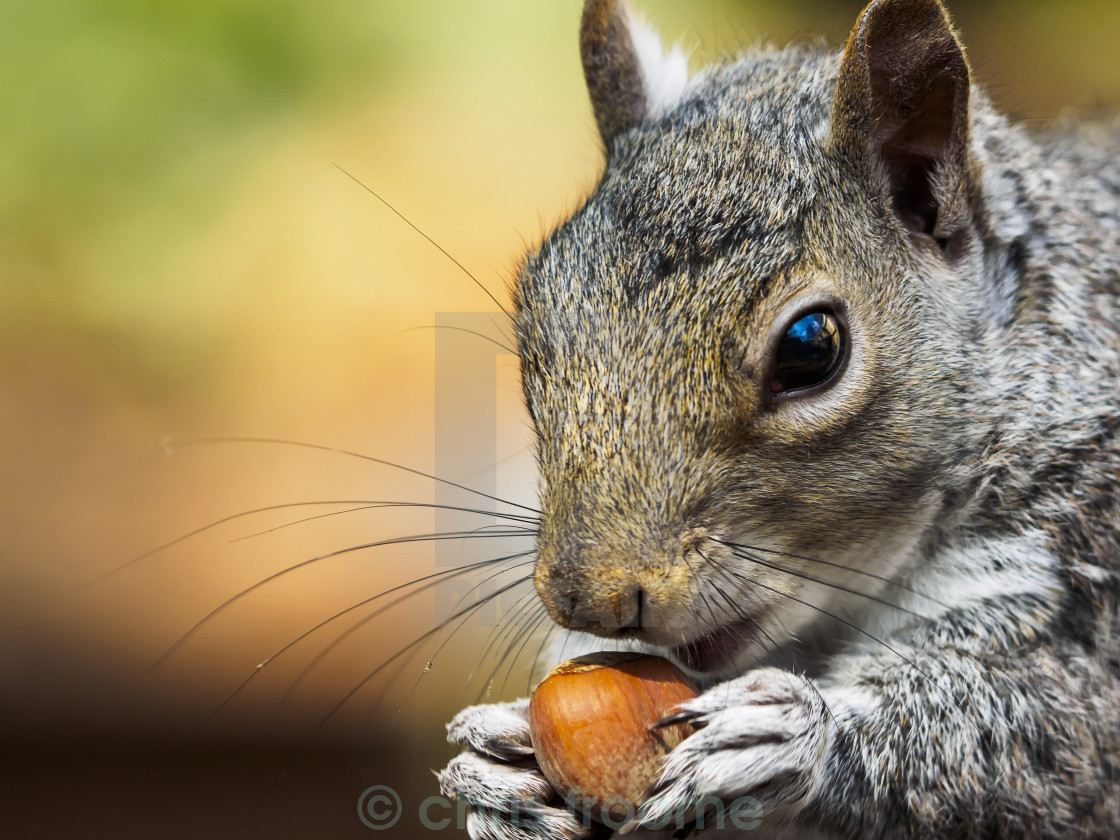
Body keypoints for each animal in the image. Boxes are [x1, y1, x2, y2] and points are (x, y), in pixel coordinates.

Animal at [434, 0, 1120, 837]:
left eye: (810, 347)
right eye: (534, 308)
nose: (589, 600)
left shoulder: (1083, 550)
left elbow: (1057, 727)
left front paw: (797, 736)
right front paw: (497, 770)